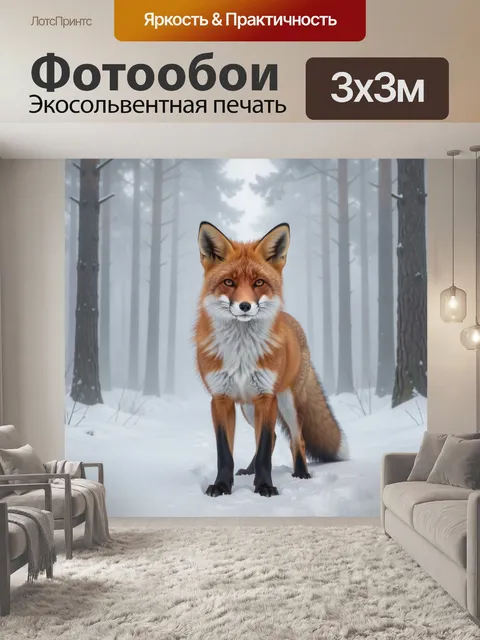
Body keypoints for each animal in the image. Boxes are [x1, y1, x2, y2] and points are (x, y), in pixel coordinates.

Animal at [195, 221, 347, 498]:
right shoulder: (220, 399)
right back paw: (249, 470)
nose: (245, 306)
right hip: (247, 406)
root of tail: (292, 321)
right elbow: (226, 452)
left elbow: (265, 447)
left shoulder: (267, 397)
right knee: (274, 437)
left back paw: (301, 473)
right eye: (229, 282)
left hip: (287, 402)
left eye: (259, 282)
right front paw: (222, 485)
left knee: (297, 439)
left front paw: (265, 486)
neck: (241, 352)